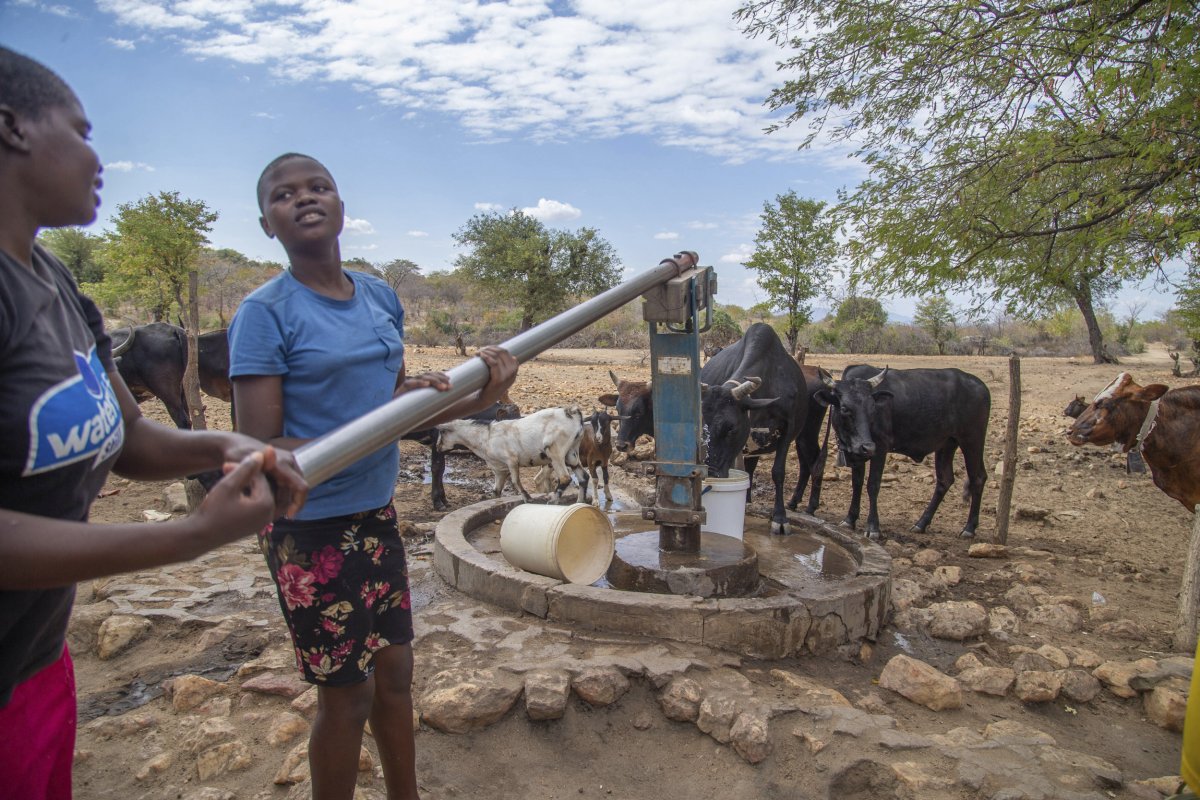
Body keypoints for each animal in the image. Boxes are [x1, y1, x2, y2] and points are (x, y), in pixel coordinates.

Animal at [436, 402, 585, 503]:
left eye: (442, 432)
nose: (437, 447)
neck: (486, 436)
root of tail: (572, 413)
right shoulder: (499, 469)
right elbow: (496, 490)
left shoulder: (511, 460)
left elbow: (515, 481)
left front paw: (528, 499)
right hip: (571, 453)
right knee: (583, 477)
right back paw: (579, 503)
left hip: (555, 452)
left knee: (565, 478)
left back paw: (552, 501)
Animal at [700, 321, 811, 534]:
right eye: (701, 428)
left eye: (731, 428)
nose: (710, 474)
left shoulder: (788, 430)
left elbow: (778, 472)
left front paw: (780, 517)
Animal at [816, 367, 993, 542]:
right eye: (845, 408)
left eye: (872, 408)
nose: (868, 446)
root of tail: (980, 385)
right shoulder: (857, 453)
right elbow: (857, 483)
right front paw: (849, 520)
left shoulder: (880, 448)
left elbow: (873, 485)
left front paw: (873, 528)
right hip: (947, 444)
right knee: (945, 479)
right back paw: (921, 524)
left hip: (972, 440)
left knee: (978, 478)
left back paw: (969, 528)